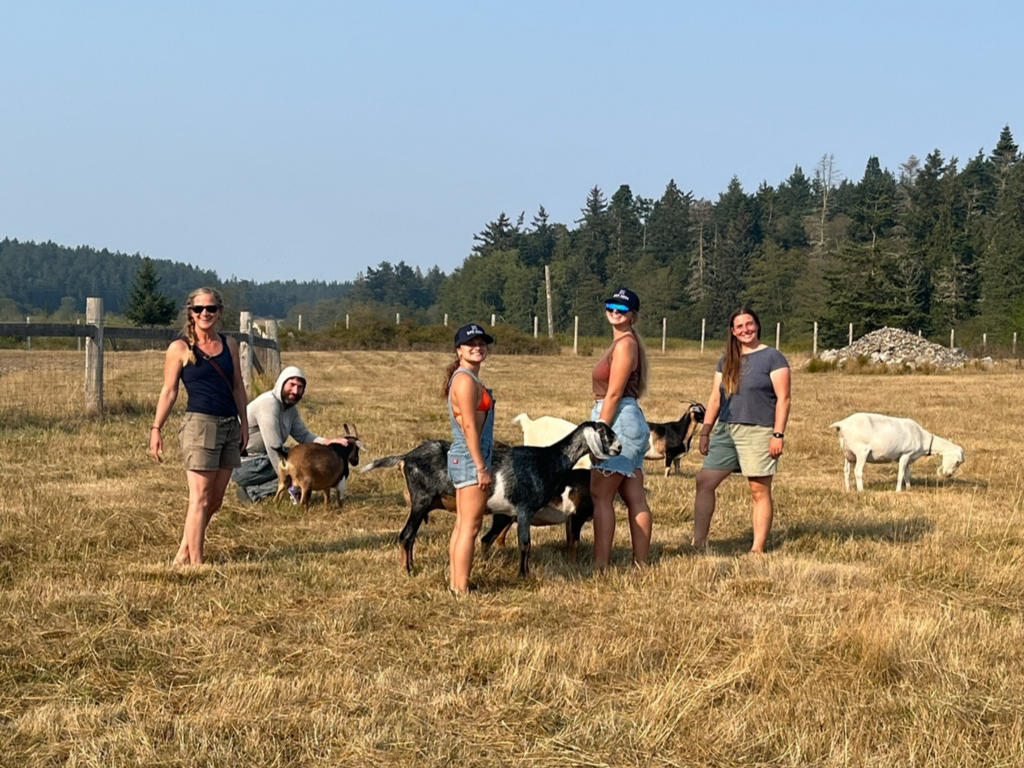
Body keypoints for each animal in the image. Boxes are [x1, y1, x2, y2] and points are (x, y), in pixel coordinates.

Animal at [360, 421, 618, 577]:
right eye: (606, 434)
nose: (619, 448)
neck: (547, 460)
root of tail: (406, 457)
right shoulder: (524, 509)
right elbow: (525, 543)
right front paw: (523, 575)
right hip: (421, 500)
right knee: (406, 535)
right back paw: (407, 570)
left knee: (411, 536)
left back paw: (412, 566)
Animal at [827, 415, 962, 493]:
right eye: (957, 462)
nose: (949, 475)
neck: (922, 437)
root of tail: (842, 424)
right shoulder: (905, 454)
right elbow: (901, 474)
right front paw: (898, 490)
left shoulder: (907, 457)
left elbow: (907, 474)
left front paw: (909, 488)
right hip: (861, 451)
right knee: (858, 471)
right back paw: (861, 490)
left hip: (848, 453)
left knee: (847, 471)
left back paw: (848, 490)